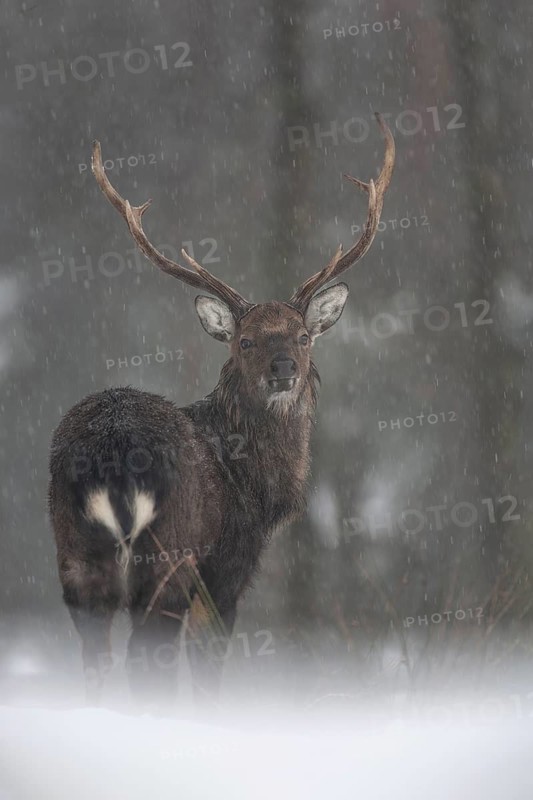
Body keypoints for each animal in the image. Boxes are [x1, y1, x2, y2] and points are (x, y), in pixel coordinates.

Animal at [48, 113, 395, 707]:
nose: (285, 369)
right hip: (169, 550)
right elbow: (209, 669)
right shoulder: (228, 563)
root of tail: (110, 457)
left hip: (75, 551)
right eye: (245, 341)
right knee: (147, 657)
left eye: (304, 336)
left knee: (96, 654)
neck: (255, 483)